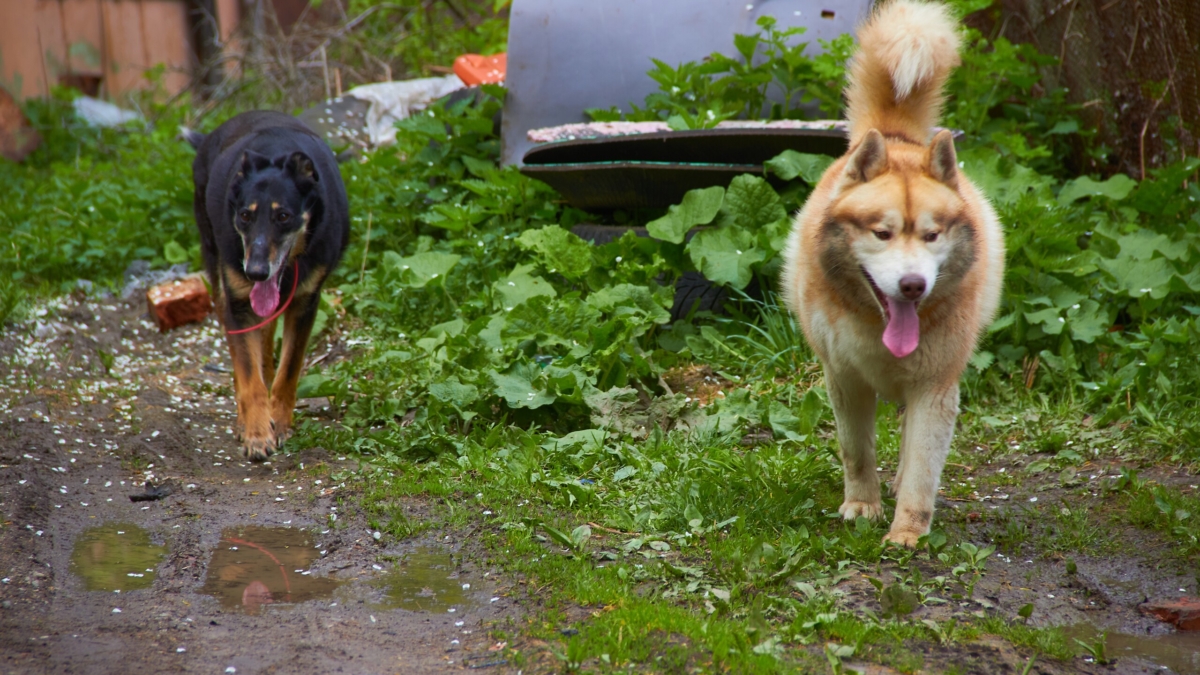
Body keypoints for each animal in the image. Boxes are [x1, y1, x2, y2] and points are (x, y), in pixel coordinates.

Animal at [184, 111, 350, 456]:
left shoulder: (305, 303)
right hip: (219, 275)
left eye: (283, 216)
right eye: (245, 216)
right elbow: (249, 377)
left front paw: (280, 422)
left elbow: (288, 371)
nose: (256, 272)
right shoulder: (238, 303)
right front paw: (257, 432)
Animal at [787, 1, 1003, 547]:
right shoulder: (844, 381)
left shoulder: (935, 387)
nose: (912, 285)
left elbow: (923, 465)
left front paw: (907, 531)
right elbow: (856, 451)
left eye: (931, 235)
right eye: (882, 233)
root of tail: (897, 139)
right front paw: (862, 505)